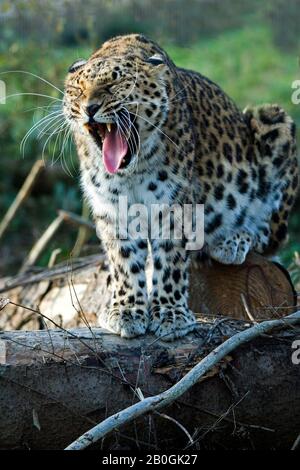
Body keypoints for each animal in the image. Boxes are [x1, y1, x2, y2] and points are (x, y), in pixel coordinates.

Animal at [62, 34, 298, 342]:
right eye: (78, 90)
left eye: (114, 85)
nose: (89, 108)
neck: (132, 170)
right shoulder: (112, 209)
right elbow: (124, 260)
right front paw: (126, 311)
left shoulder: (175, 205)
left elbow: (170, 260)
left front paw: (171, 315)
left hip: (274, 121)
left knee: (271, 236)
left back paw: (232, 239)